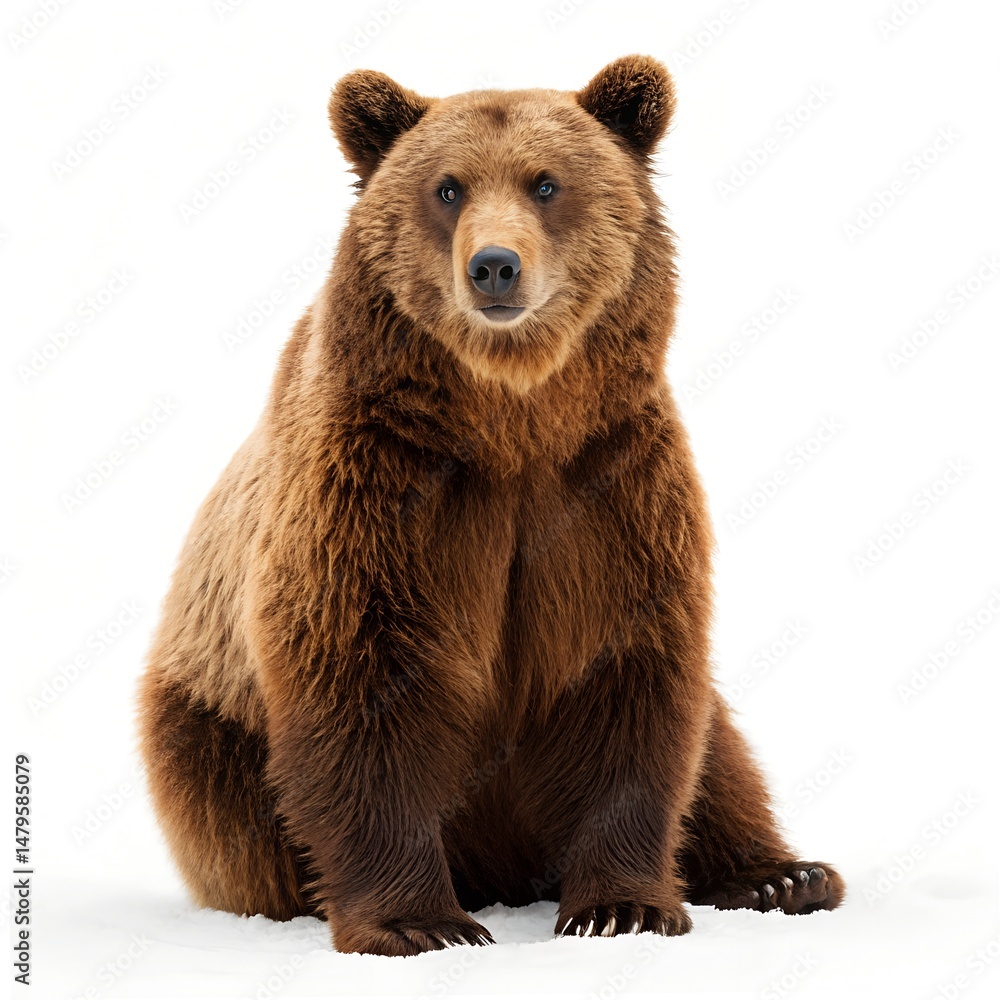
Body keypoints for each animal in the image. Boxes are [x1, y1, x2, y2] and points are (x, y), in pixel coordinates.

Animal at [137, 55, 844, 956]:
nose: (495, 266)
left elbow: (626, 684)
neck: (510, 419)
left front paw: (621, 907)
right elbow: (362, 675)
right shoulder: (378, 486)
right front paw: (418, 921)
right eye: (447, 188)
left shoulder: (607, 485)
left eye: (546, 183)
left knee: (718, 752)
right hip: (208, 728)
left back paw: (783, 875)